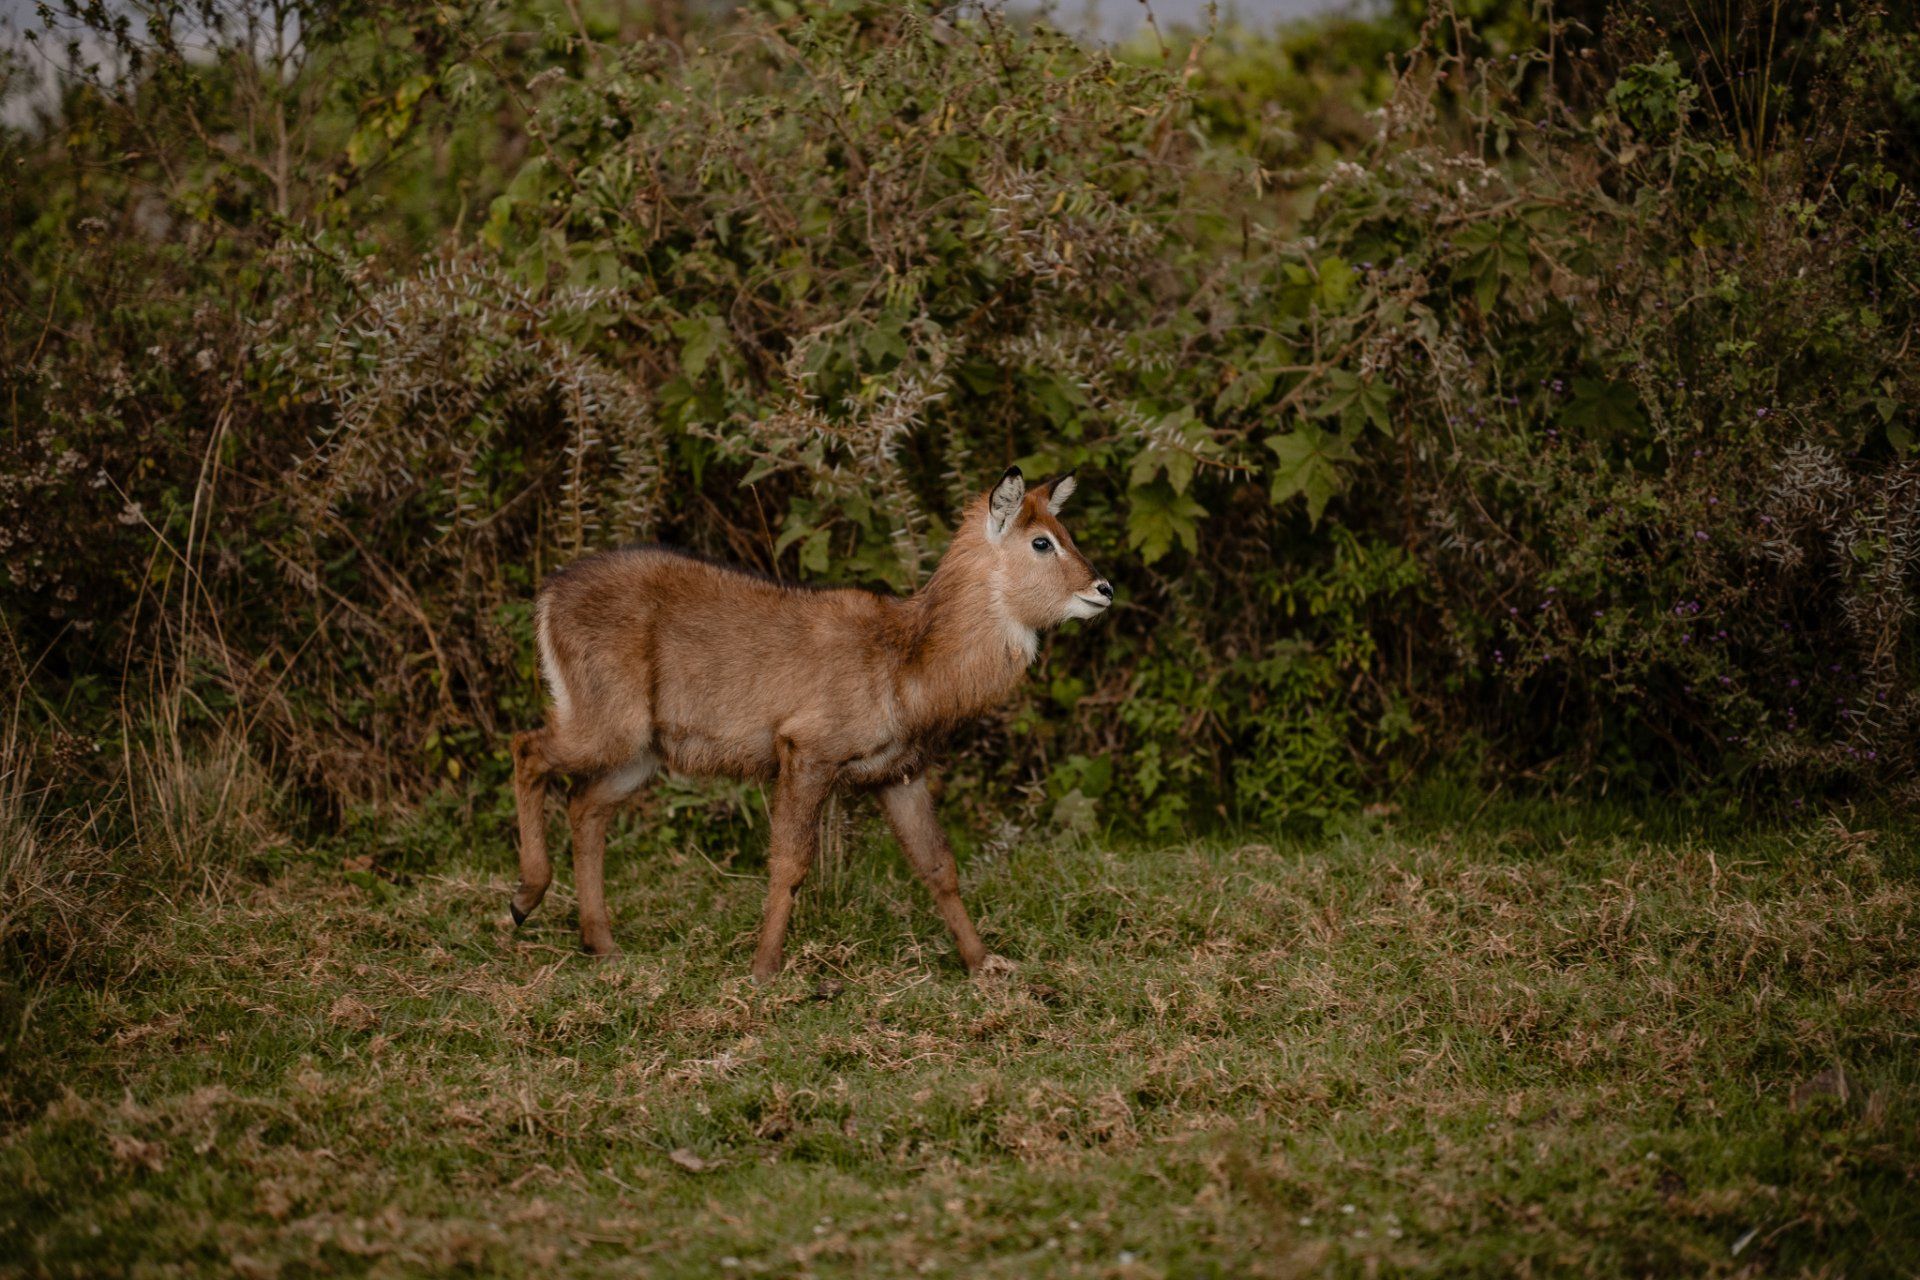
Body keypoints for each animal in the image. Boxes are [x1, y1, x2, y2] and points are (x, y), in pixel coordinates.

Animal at [507, 467, 1112, 981]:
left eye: (1065, 530)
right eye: (1042, 541)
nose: (1104, 589)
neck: (909, 665)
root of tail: (549, 592)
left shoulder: (899, 773)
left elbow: (939, 865)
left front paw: (985, 964)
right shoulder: (806, 751)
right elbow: (790, 863)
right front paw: (763, 970)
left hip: (641, 752)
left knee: (584, 805)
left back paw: (601, 944)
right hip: (609, 724)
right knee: (527, 748)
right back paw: (523, 899)